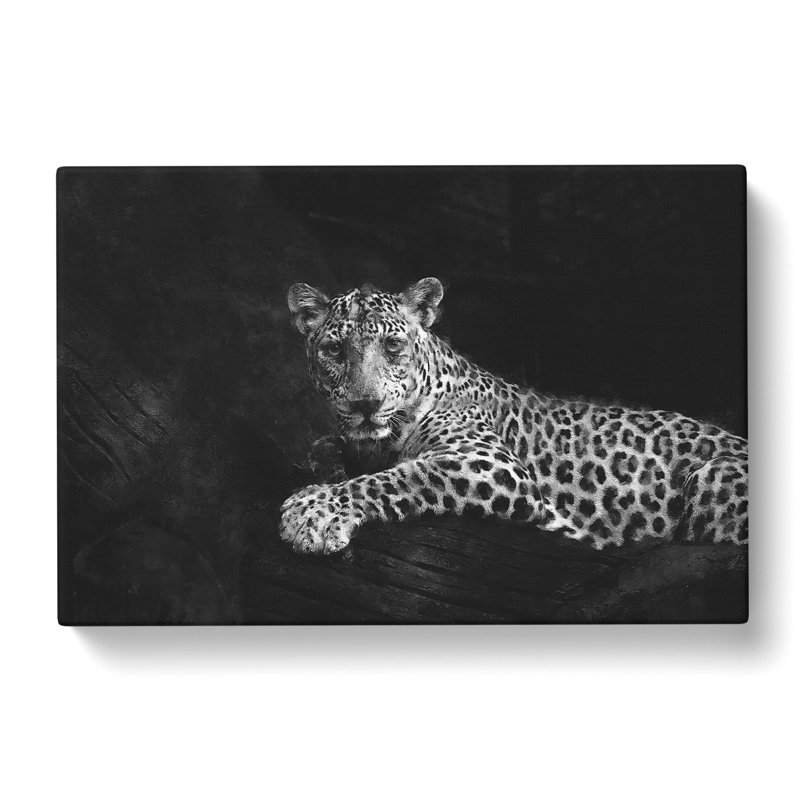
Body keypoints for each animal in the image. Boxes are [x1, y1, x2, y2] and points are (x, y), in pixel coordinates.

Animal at [280, 277, 748, 555]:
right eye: (335, 350)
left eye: (392, 347)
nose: (366, 404)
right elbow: (324, 447)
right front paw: (329, 475)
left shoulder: (490, 464)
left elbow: (400, 477)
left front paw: (313, 511)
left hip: (713, 477)